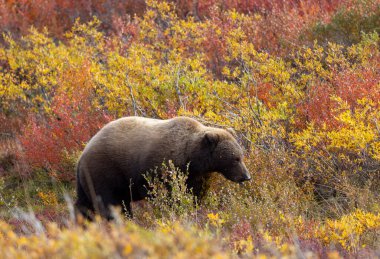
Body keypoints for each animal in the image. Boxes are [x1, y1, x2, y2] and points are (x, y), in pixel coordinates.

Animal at [75, 117, 251, 220]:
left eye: (241, 156)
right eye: (235, 158)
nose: (246, 176)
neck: (192, 157)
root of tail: (83, 154)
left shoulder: (196, 175)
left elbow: (195, 193)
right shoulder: (161, 167)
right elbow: (163, 192)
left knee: (84, 203)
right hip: (104, 171)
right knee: (109, 202)